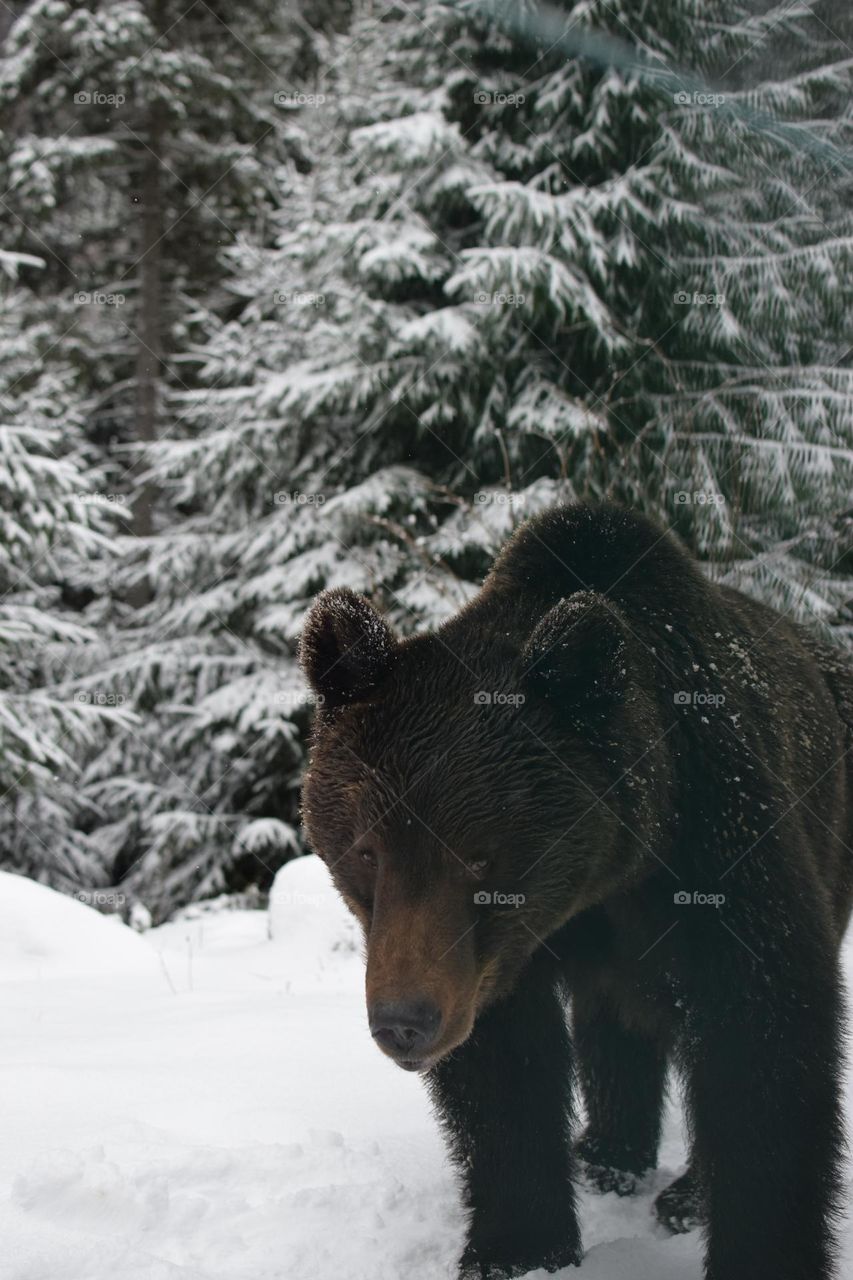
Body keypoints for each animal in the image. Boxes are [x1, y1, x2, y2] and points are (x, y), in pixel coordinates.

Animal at [299, 502, 853, 1280]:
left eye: (480, 857)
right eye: (366, 849)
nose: (405, 1021)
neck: (603, 875)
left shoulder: (718, 838)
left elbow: (761, 1037)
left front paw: (761, 1247)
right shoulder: (493, 959)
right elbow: (505, 1073)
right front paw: (518, 1247)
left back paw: (680, 1192)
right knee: (614, 1019)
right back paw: (607, 1154)